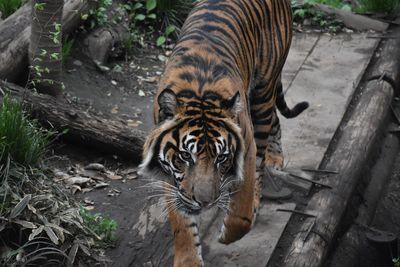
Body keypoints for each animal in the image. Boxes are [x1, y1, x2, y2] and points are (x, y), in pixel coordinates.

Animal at [138, 0, 310, 266]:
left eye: (222, 157)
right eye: (185, 156)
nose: (205, 202)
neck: (199, 92)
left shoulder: (246, 147)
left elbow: (242, 208)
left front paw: (228, 232)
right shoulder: (171, 171)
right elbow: (182, 223)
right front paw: (189, 259)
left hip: (262, 95)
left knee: (264, 147)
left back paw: (270, 166)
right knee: (276, 120)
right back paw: (275, 157)